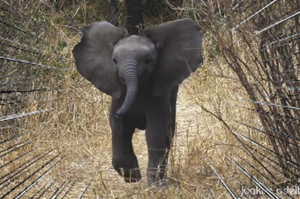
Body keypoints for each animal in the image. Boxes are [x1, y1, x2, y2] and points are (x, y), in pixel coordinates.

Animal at [73, 18, 203, 185]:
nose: (119, 112)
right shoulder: (119, 96)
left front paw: (154, 184)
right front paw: (132, 177)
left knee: (169, 133)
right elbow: (120, 129)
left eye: (148, 60)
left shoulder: (158, 95)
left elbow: (156, 133)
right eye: (114, 61)